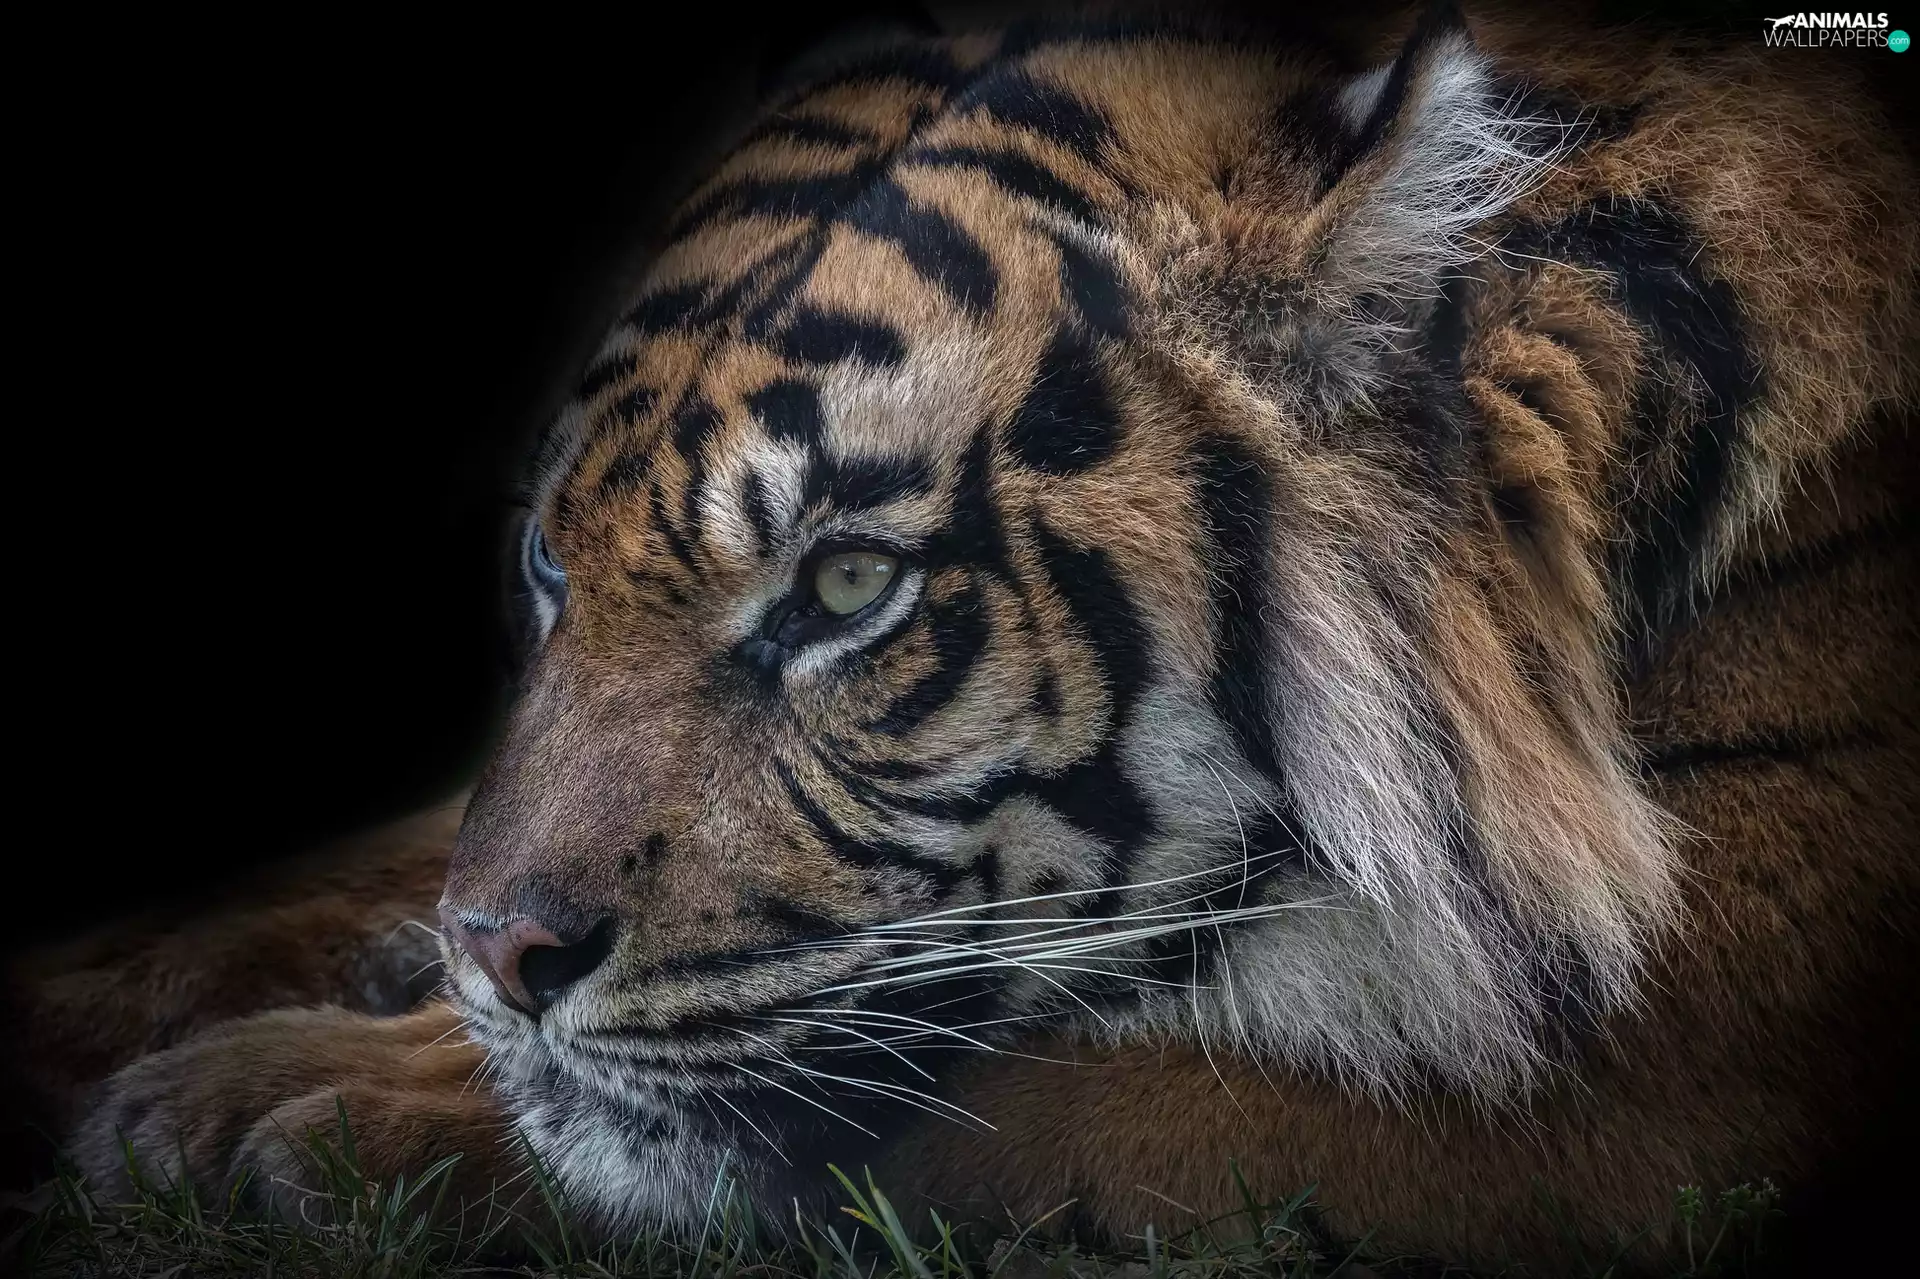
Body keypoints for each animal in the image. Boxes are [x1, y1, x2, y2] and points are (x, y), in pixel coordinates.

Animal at [8, 0, 1917, 1272]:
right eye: (554, 564)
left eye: (850, 589)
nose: (494, 956)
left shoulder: (1658, 1067)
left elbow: (968, 1098)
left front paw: (279, 1108)